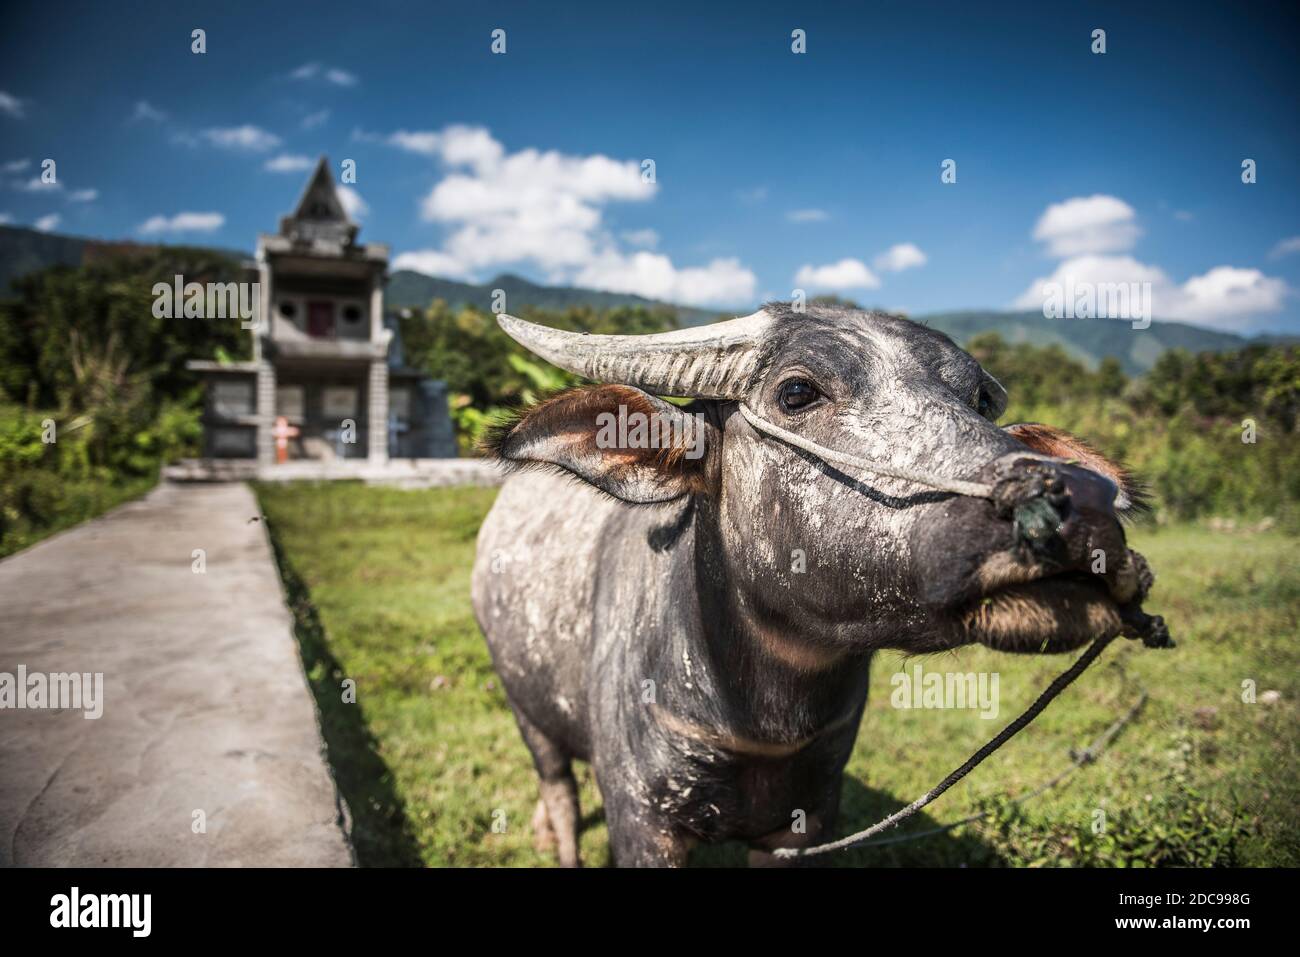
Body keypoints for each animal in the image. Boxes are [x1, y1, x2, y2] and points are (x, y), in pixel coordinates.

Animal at [473, 304, 1144, 868]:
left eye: (980, 401)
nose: (1081, 504)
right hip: (524, 709)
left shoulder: (805, 822)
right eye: (797, 392)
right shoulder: (643, 824)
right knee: (558, 790)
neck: (760, 720)